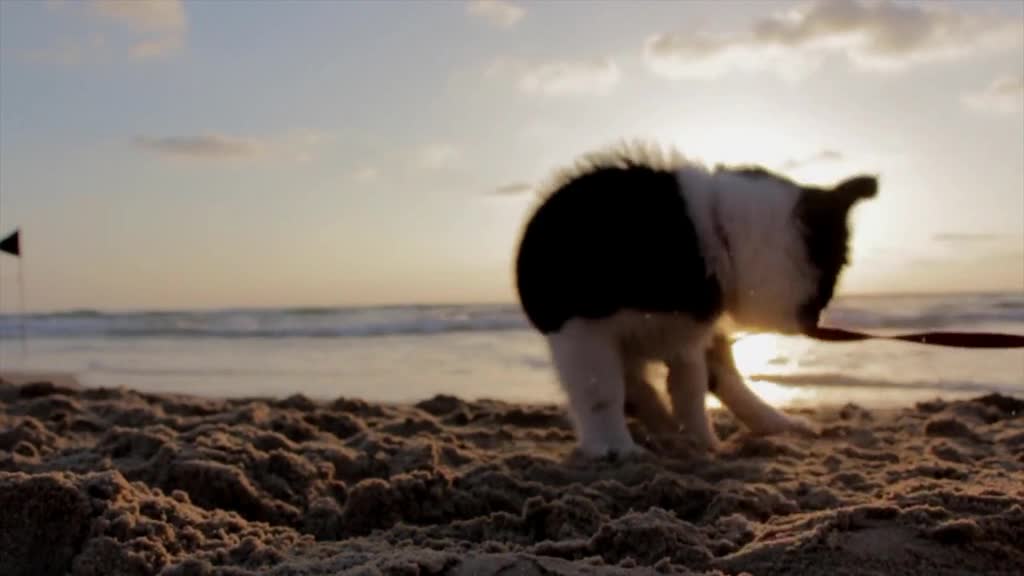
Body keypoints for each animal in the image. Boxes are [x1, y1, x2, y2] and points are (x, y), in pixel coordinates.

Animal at [516, 145, 876, 455]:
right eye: (833, 273)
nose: (818, 319)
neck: (716, 234)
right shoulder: (582, 327)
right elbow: (601, 390)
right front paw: (614, 447)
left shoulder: (688, 337)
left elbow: (690, 389)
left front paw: (701, 443)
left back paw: (773, 423)